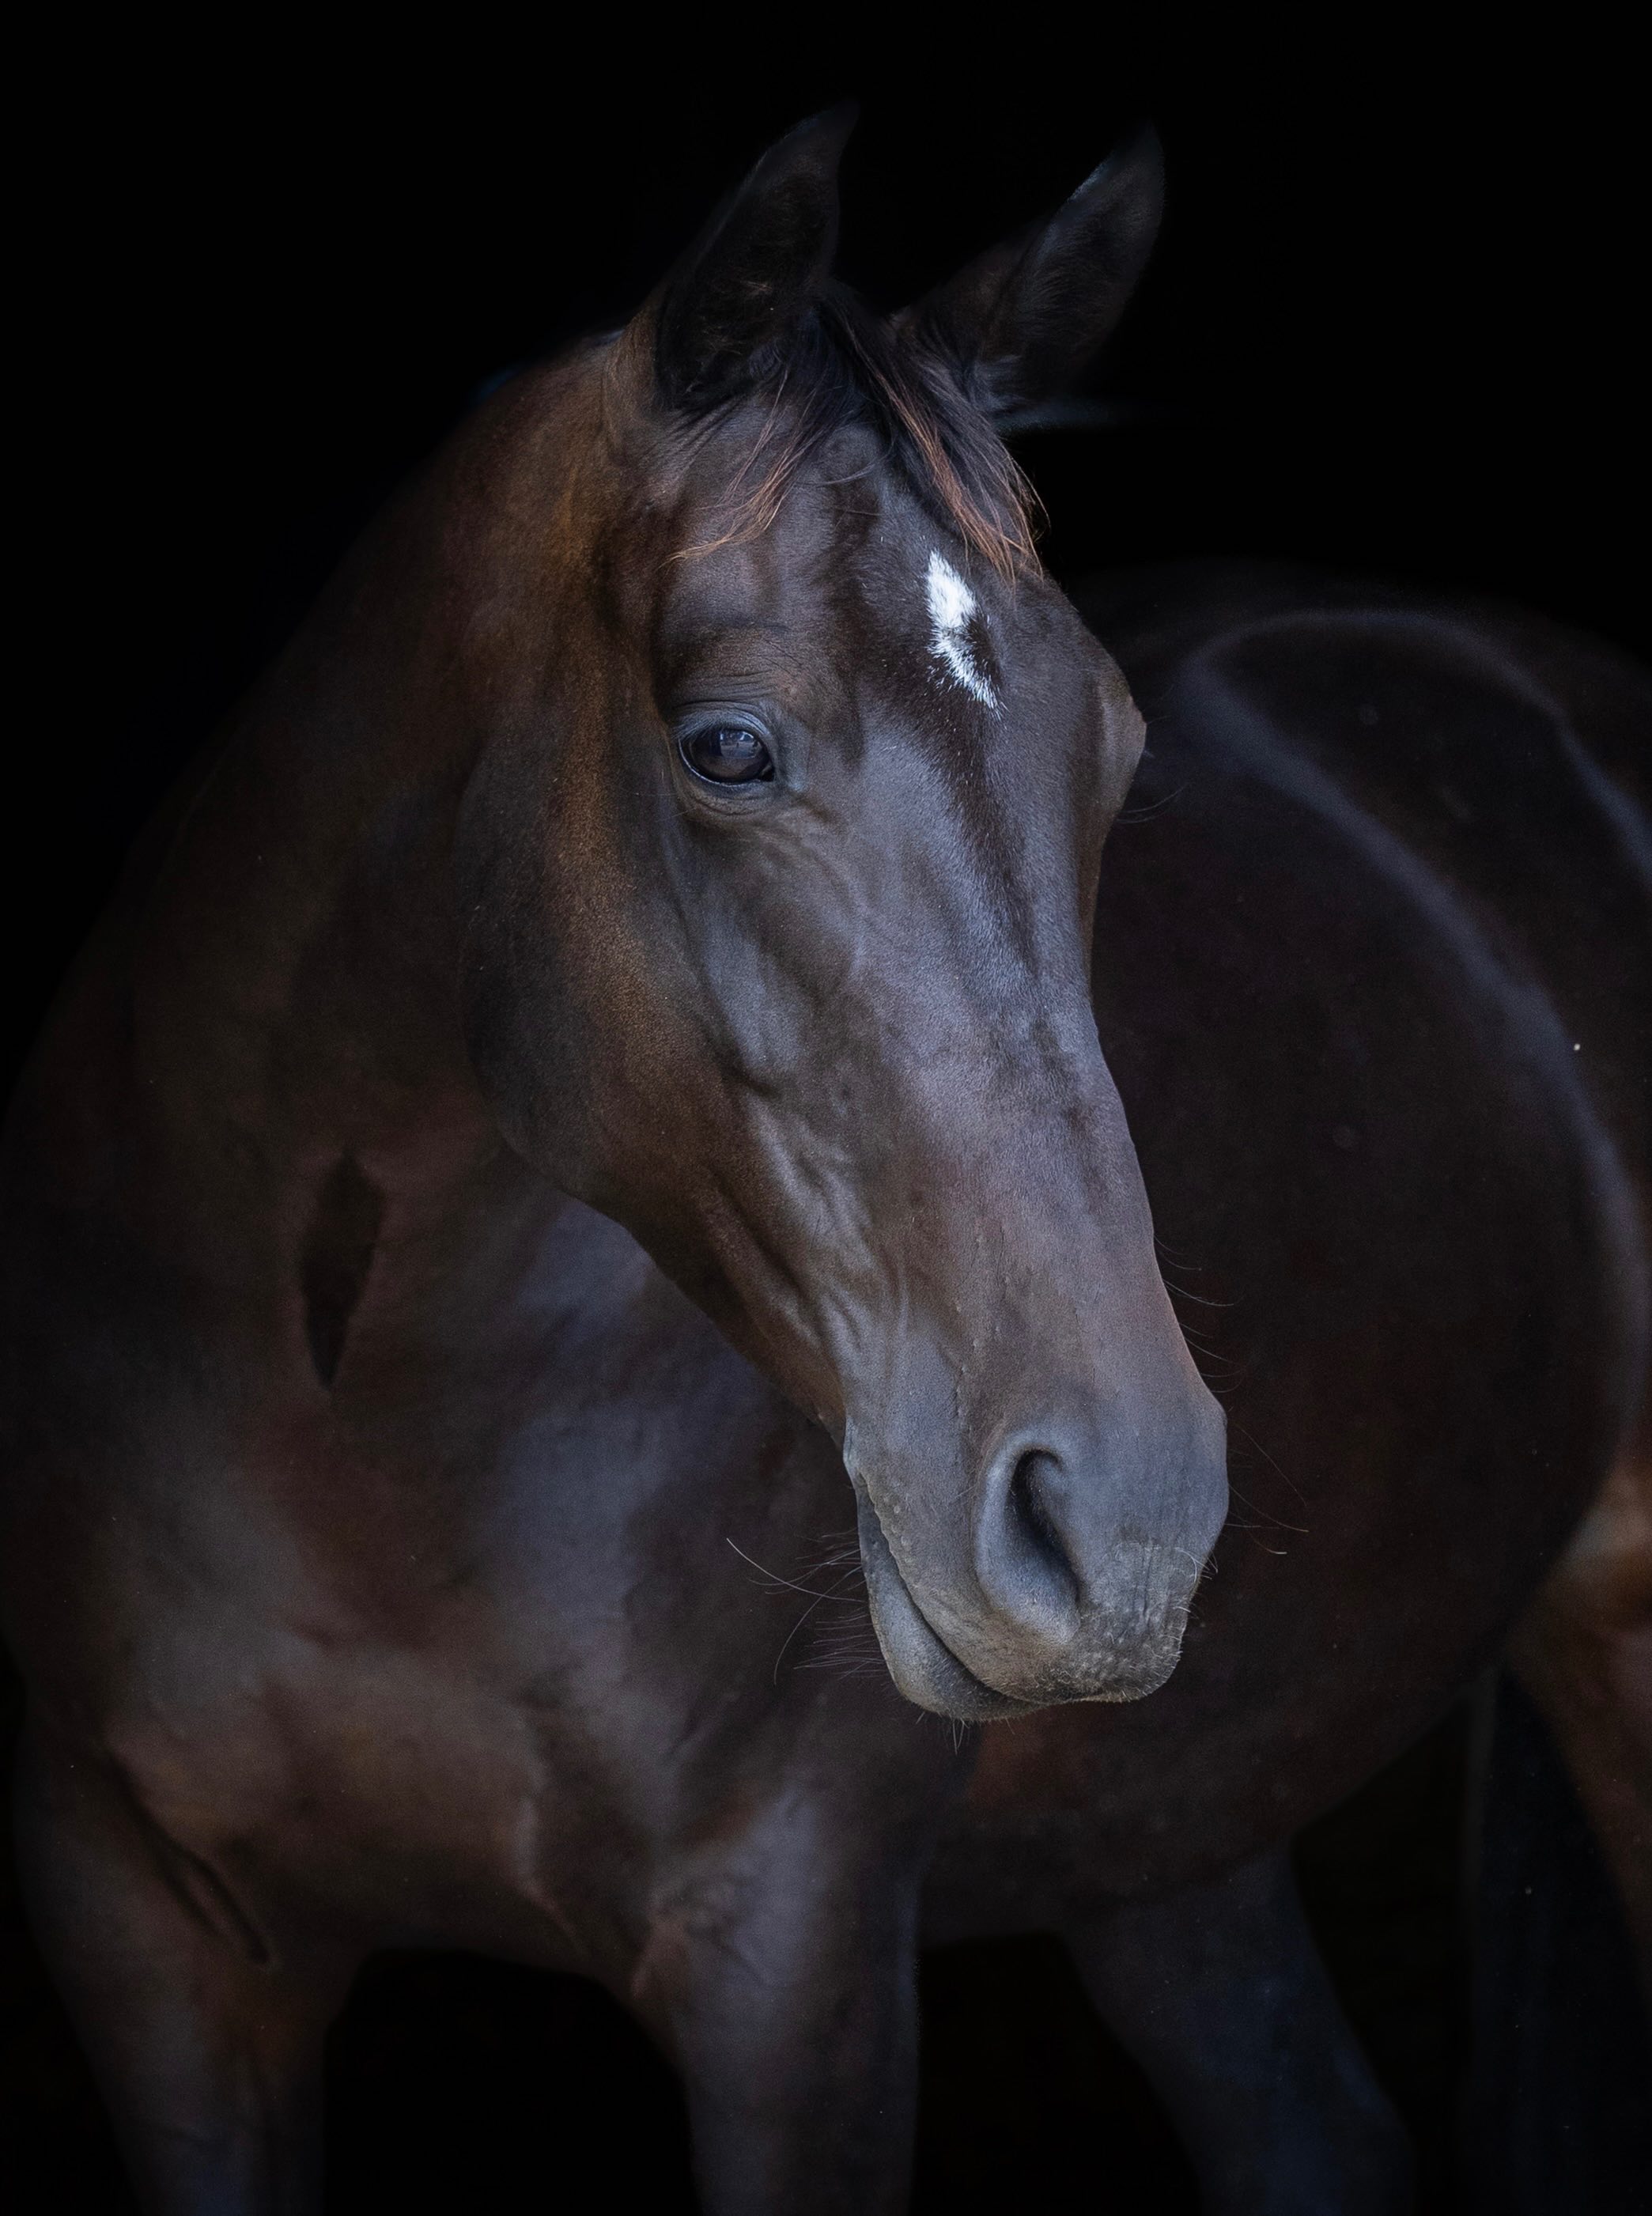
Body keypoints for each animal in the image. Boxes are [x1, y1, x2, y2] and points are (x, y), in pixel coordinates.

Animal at [2, 110, 1646, 2215]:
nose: (1125, 1522)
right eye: (725, 746)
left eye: (1113, 753)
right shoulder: (150, 1946)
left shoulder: (793, 1975)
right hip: (1170, 1844)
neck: (346, 1426)